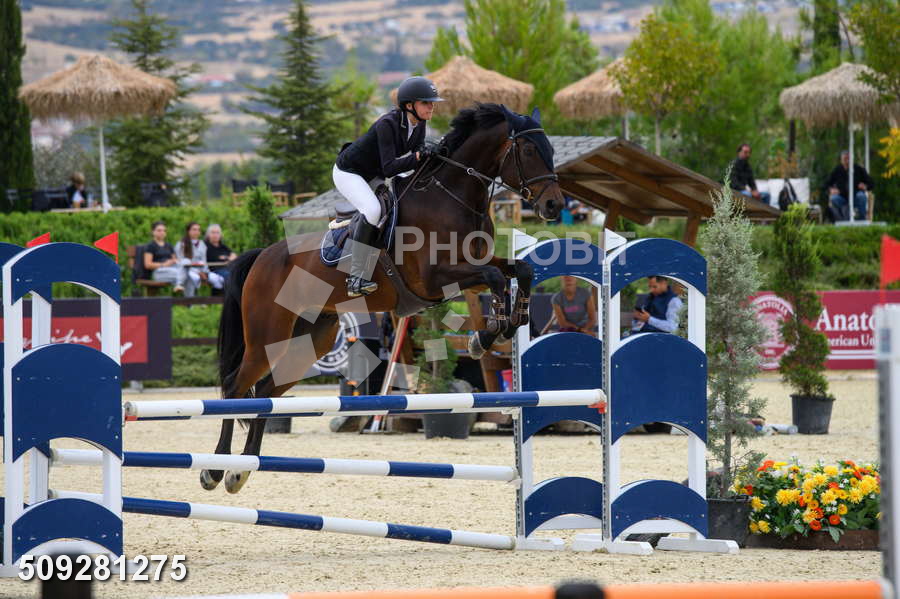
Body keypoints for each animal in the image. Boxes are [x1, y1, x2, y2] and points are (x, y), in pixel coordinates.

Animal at [202, 103, 564, 493]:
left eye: (550, 149)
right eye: (529, 150)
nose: (553, 205)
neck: (452, 197)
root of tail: (263, 256)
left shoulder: (476, 266)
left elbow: (520, 269)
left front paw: (511, 323)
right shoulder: (435, 279)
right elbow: (496, 278)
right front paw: (484, 337)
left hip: (310, 340)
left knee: (267, 392)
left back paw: (240, 471)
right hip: (267, 336)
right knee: (235, 387)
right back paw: (215, 469)